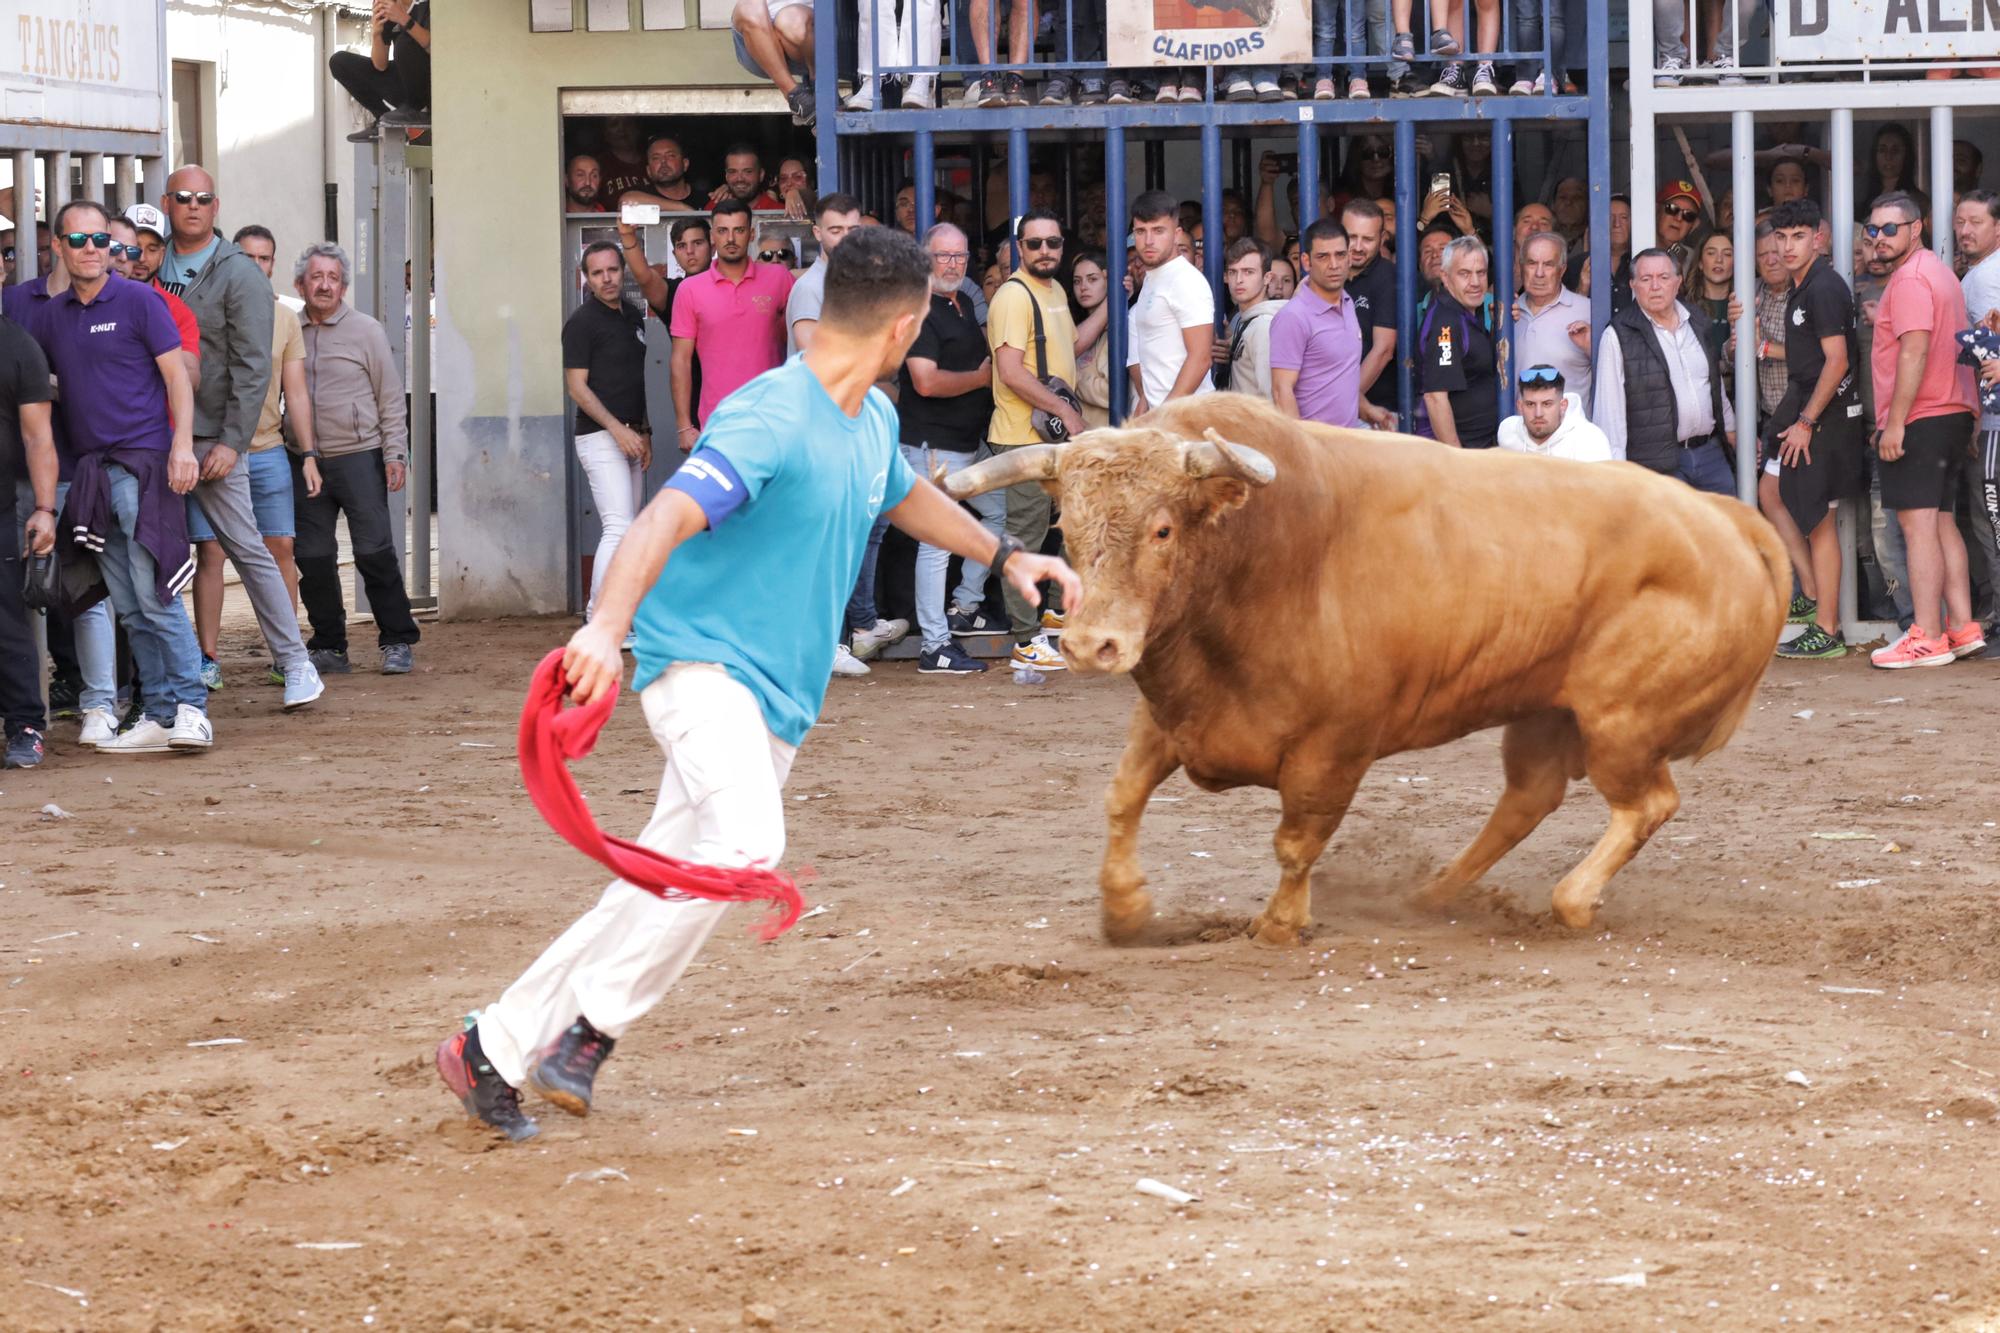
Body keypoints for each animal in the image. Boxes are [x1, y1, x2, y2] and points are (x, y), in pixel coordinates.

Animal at [944, 390, 1792, 940]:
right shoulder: (1169, 716)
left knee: (1645, 802)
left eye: (1161, 528)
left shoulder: (1336, 746)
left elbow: (1297, 841)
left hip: (1621, 721)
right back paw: (1435, 892)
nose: (1093, 645)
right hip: (1546, 712)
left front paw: (1281, 922)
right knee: (1529, 796)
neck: (1261, 555)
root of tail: (1725, 518)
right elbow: (1122, 798)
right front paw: (1125, 909)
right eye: (1069, 525)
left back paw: (1572, 899)